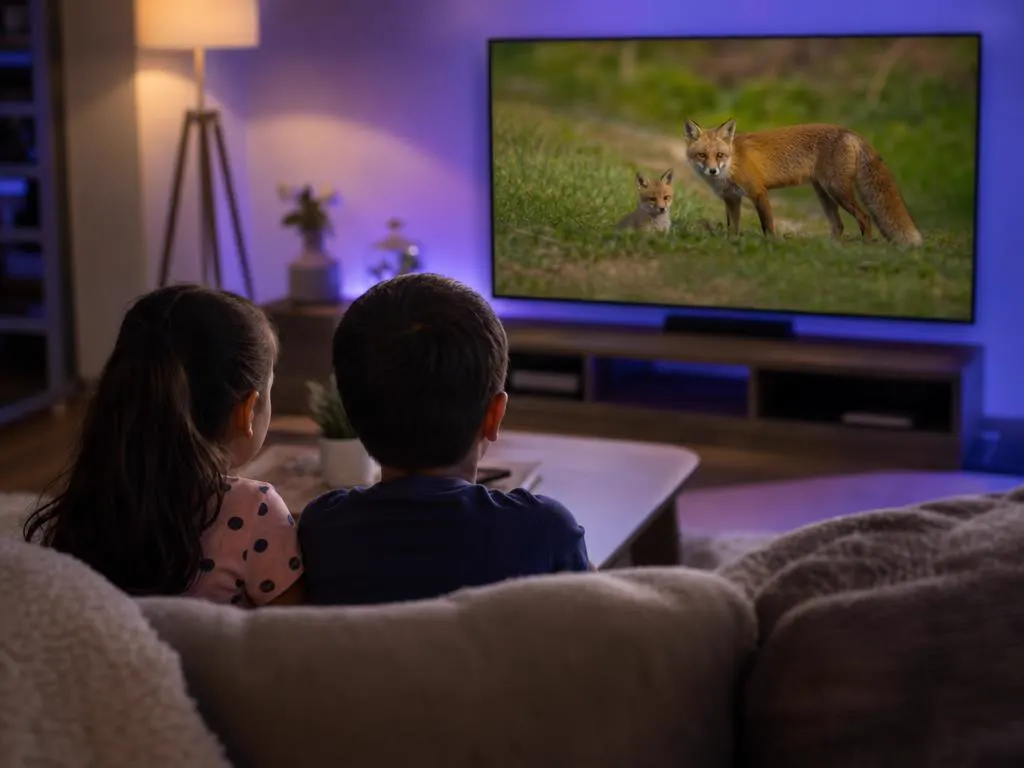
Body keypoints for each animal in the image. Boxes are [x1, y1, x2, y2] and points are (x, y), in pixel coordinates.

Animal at [683, 118, 923, 246]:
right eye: (702, 155)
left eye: (719, 155)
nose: (712, 171)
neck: (733, 162)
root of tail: (848, 131)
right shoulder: (732, 199)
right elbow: (732, 228)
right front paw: (732, 245)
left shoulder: (758, 192)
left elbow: (767, 226)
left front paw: (771, 246)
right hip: (823, 193)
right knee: (838, 224)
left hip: (837, 190)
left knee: (864, 217)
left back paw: (865, 245)